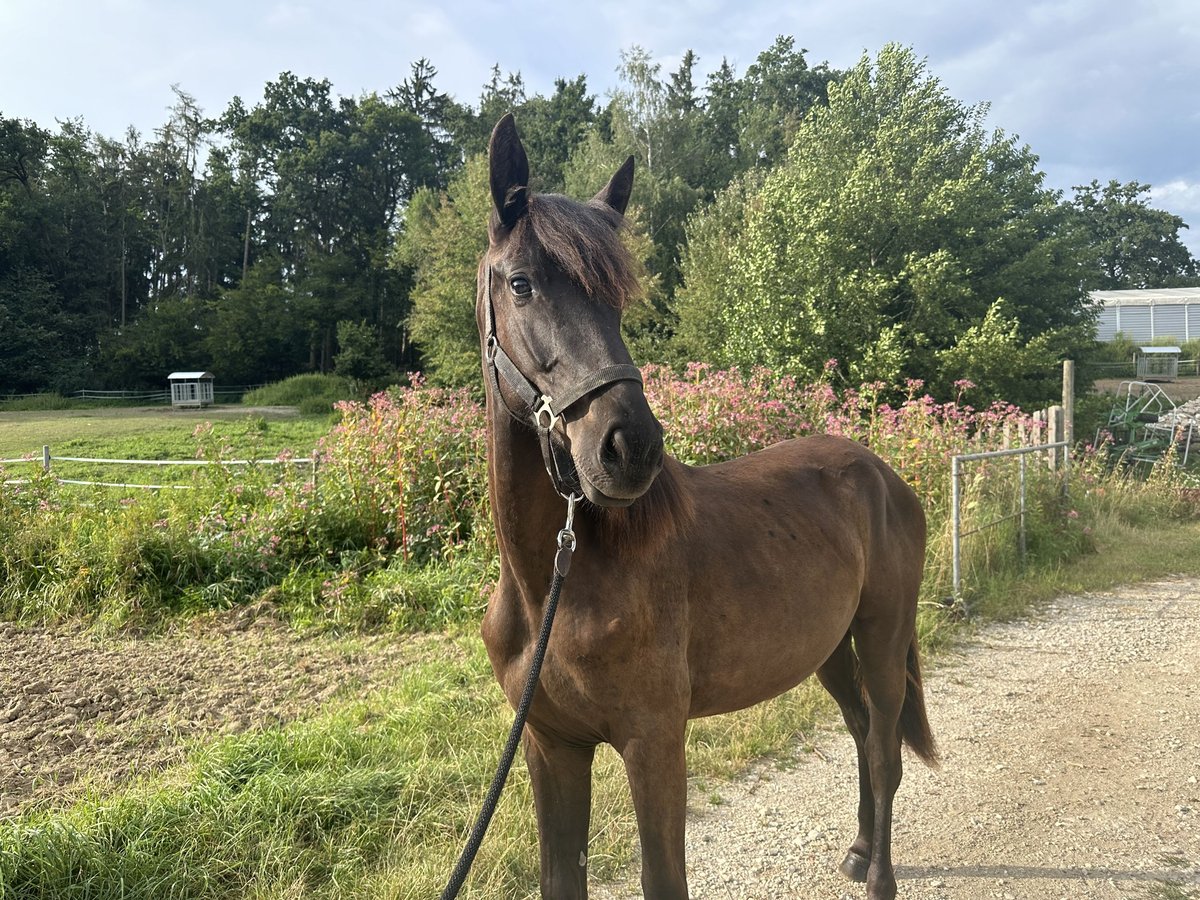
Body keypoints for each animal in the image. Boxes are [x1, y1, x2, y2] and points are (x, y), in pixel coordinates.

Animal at [475, 114, 936, 900]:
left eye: (618, 299)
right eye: (521, 283)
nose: (628, 447)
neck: (553, 591)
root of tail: (884, 476)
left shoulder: (654, 743)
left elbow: (665, 877)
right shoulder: (549, 746)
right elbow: (561, 876)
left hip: (881, 635)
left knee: (883, 751)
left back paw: (879, 877)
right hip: (829, 648)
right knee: (859, 732)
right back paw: (854, 852)